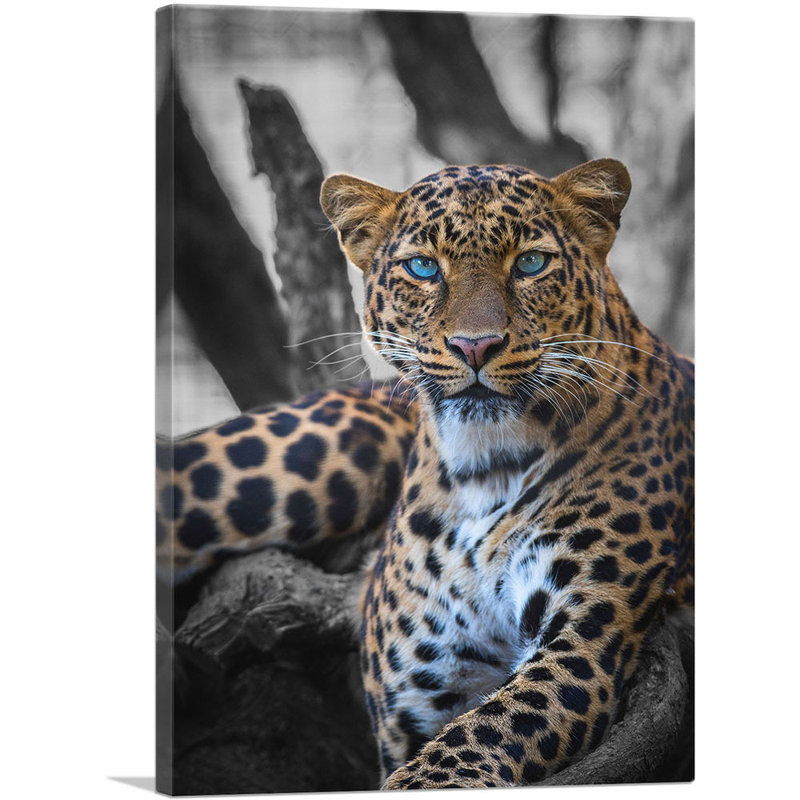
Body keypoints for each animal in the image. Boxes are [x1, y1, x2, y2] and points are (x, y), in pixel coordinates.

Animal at [157, 158, 694, 789]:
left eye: (530, 263)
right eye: (423, 267)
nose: (475, 346)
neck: (485, 469)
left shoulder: (585, 645)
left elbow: (471, 740)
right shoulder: (419, 693)